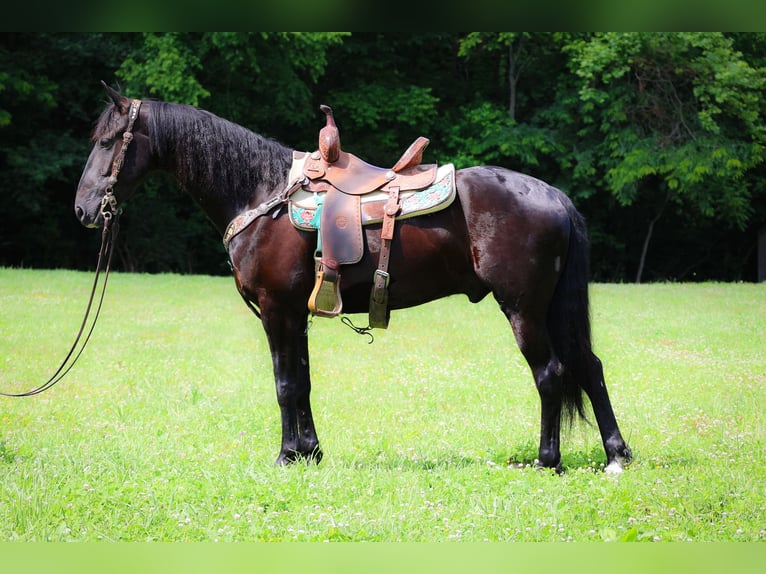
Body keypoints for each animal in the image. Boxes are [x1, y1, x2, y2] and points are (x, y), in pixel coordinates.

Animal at [75, 84, 632, 472]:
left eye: (108, 141)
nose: (83, 208)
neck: (261, 193)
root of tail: (553, 195)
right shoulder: (295, 315)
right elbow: (301, 382)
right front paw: (309, 453)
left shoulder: (276, 310)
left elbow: (284, 384)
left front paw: (286, 457)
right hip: (551, 308)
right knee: (589, 367)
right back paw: (616, 455)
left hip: (523, 308)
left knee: (552, 373)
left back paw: (547, 460)